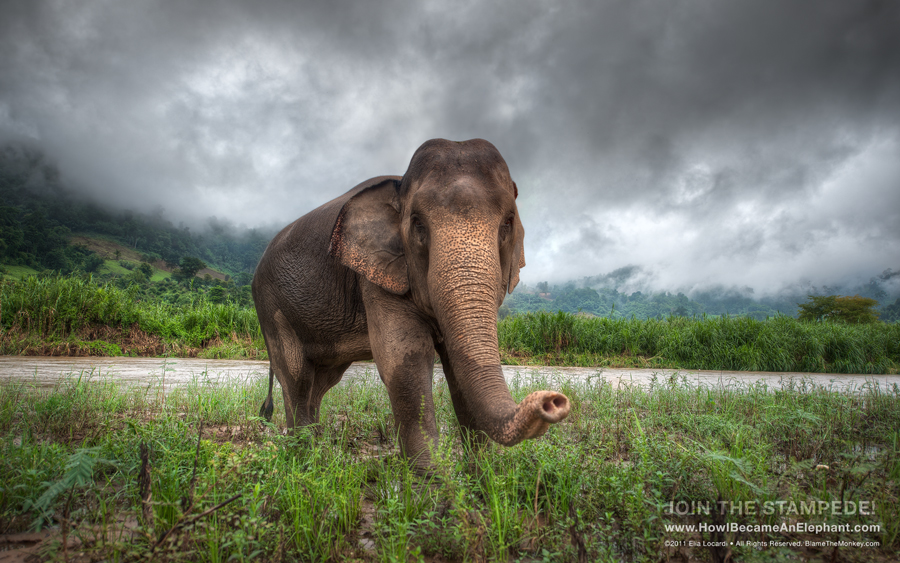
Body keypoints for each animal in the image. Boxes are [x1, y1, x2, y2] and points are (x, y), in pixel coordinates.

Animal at [251, 138, 568, 472]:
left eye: (508, 222)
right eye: (418, 225)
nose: (553, 401)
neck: (400, 184)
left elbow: (458, 368)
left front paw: (482, 476)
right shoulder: (377, 276)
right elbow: (405, 362)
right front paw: (430, 481)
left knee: (321, 381)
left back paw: (316, 457)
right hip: (270, 306)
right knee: (296, 376)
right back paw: (304, 461)